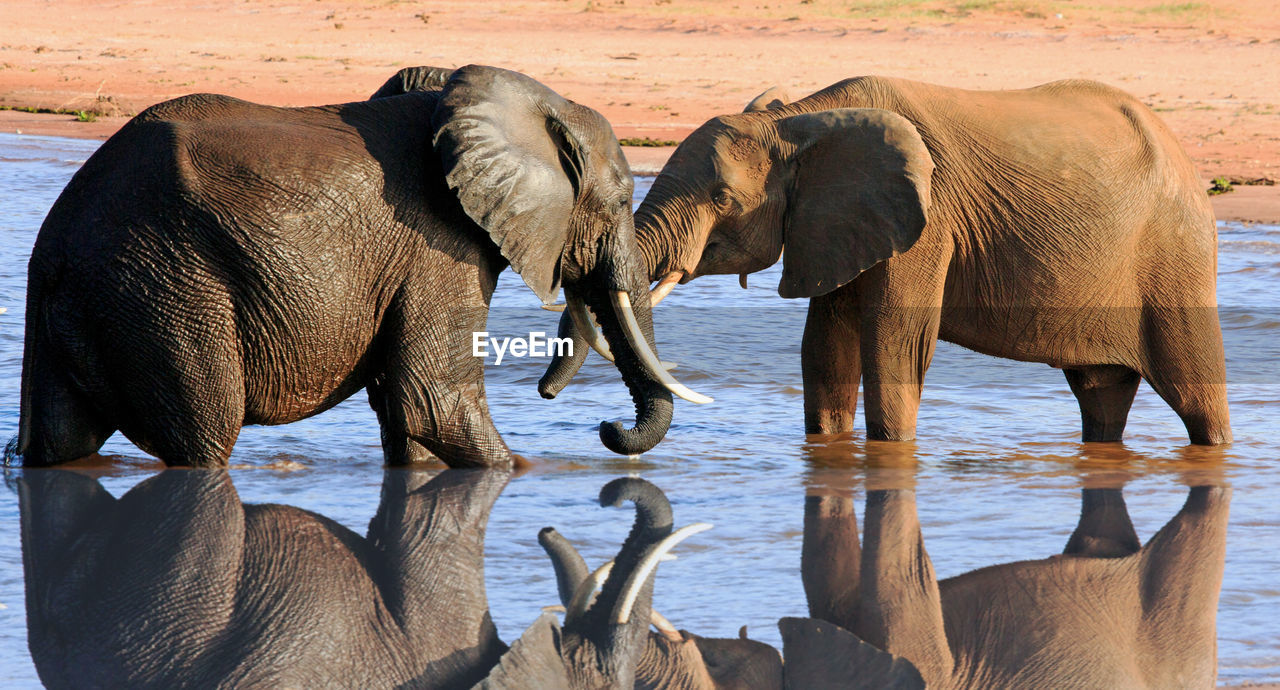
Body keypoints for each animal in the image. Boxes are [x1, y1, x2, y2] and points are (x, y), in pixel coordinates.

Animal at [14, 63, 708, 469]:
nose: (606, 428)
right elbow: (432, 399)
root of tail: (52, 243)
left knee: (61, 442)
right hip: (164, 289)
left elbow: (405, 411)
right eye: (620, 200)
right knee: (204, 434)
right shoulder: (438, 245)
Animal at [543, 76, 1231, 445]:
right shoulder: (836, 225)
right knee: (1101, 395)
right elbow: (824, 348)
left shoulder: (927, 221)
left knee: (1195, 392)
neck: (800, 121)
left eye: (721, 199)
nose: (604, 427)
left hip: (1175, 255)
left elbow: (895, 345)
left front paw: (892, 457)